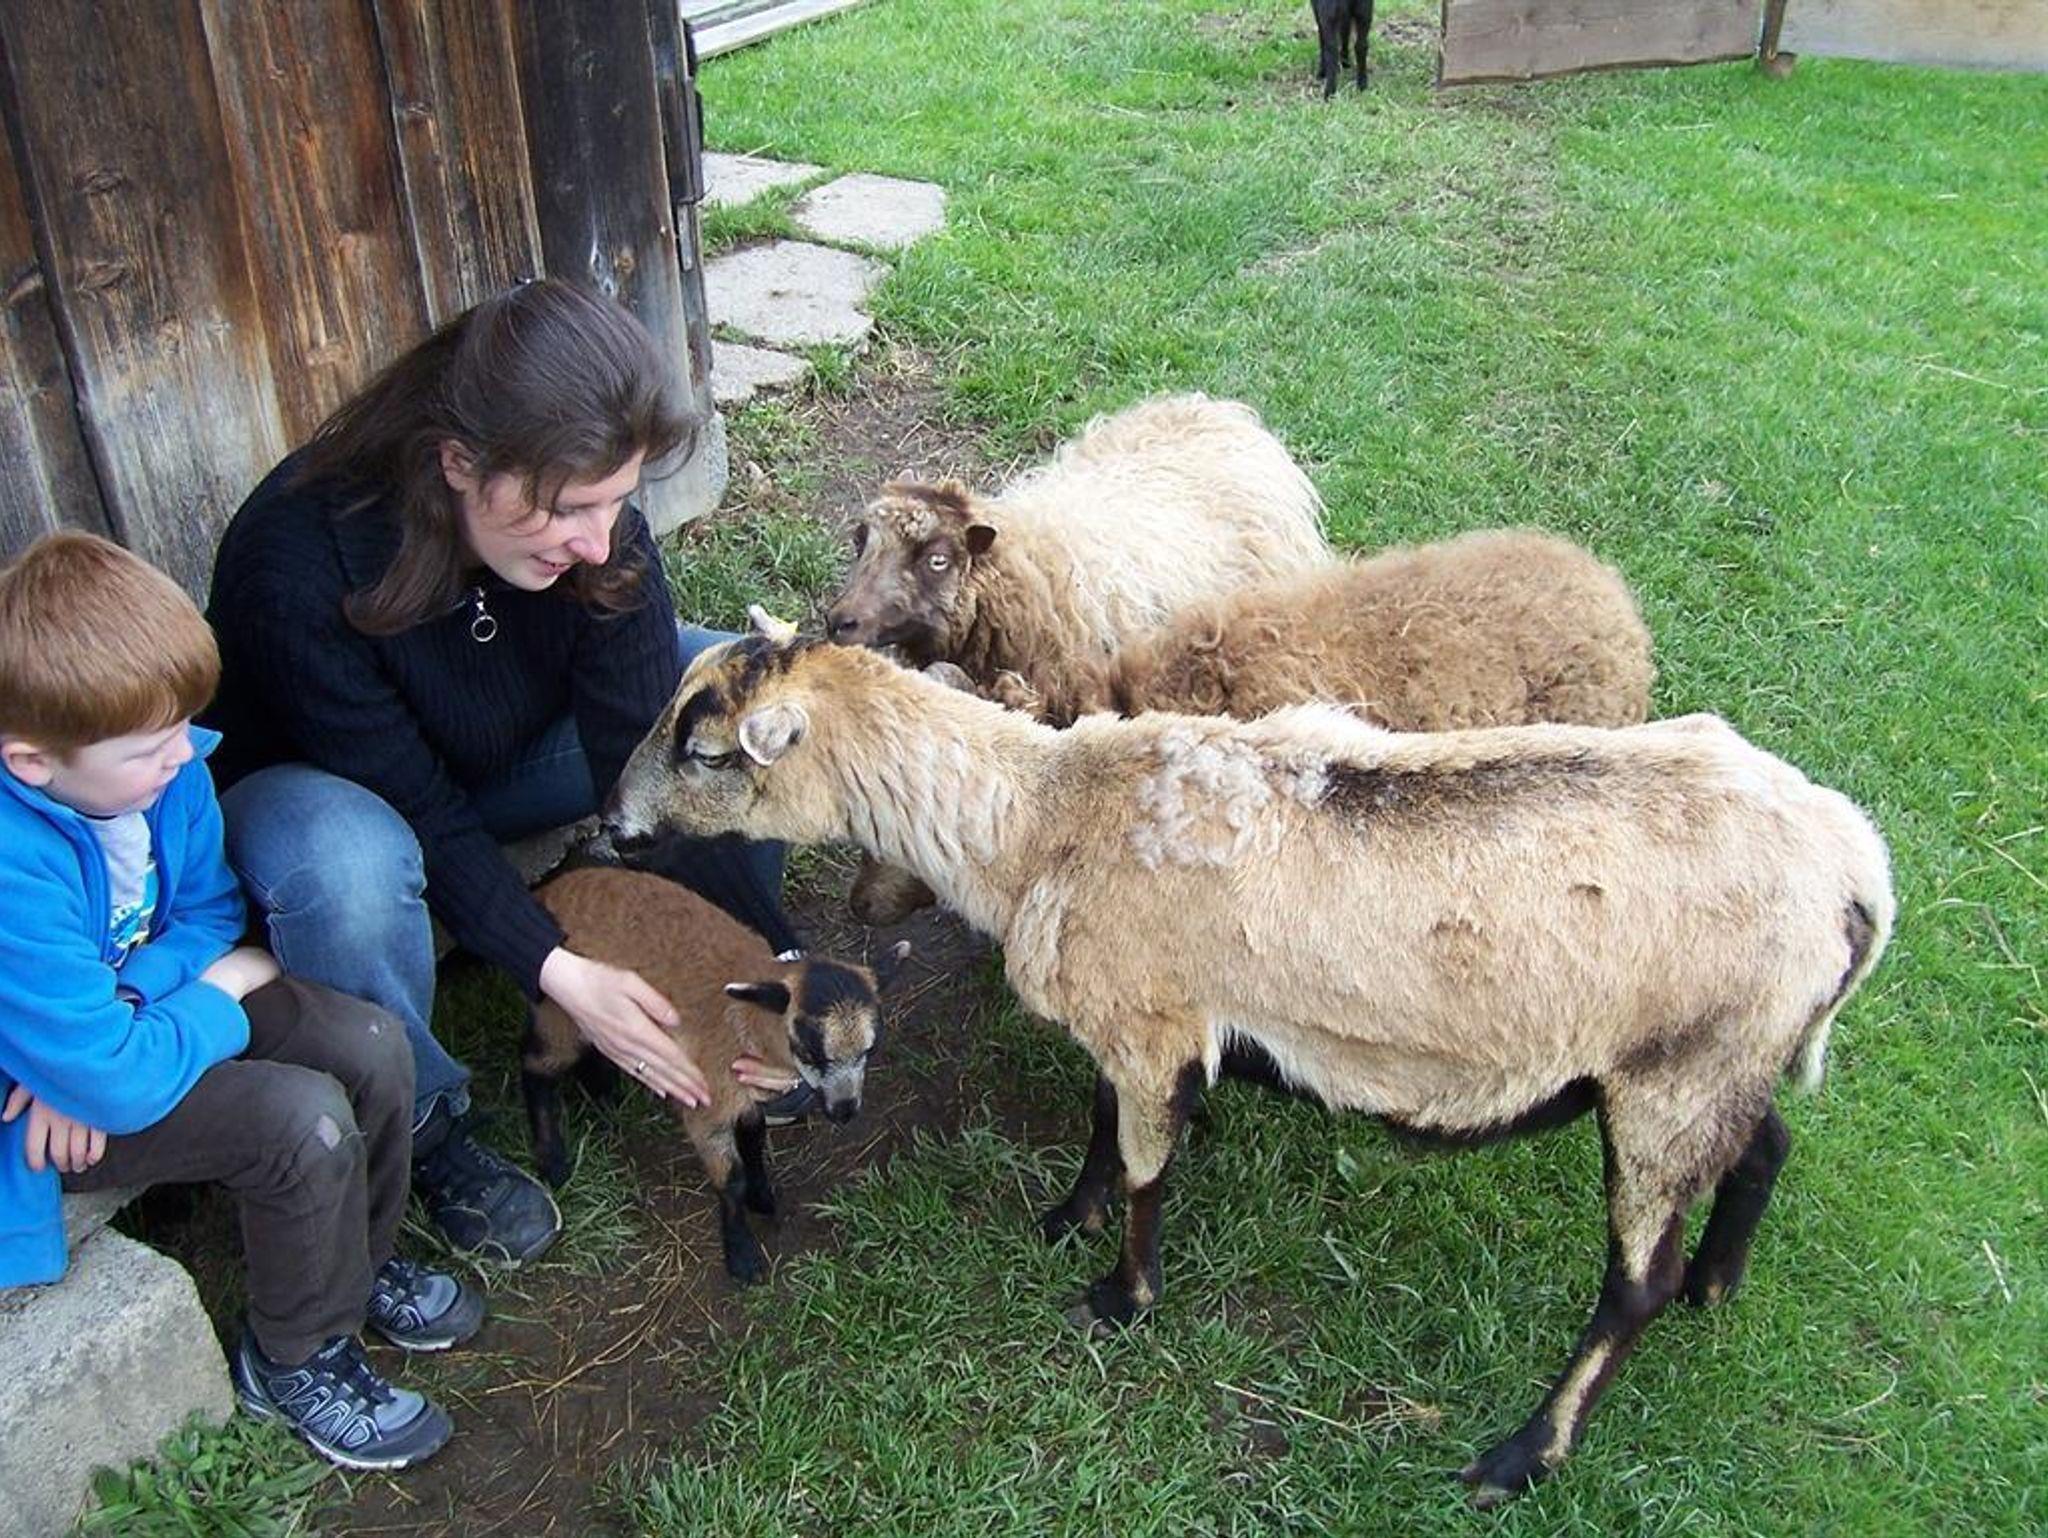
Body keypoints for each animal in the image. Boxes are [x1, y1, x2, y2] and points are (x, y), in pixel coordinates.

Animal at [520, 864, 909, 1284]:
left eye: (870, 1049)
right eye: (809, 1051)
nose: (844, 1111)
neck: (748, 1023)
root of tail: (550, 889)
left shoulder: (746, 1093)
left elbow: (753, 1139)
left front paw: (761, 1196)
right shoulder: (705, 1103)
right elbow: (730, 1178)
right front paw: (741, 1256)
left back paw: (604, 1097)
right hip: (558, 1007)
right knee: (535, 1065)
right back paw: (553, 1161)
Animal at [605, 624, 1894, 1504]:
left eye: (703, 744)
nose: (611, 829)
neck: (1037, 819)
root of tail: (1858, 875)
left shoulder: (1148, 1018)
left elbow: (1143, 1166)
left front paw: (1118, 1296)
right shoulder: (1134, 1014)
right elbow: (1099, 1123)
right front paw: (1062, 1217)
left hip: (1672, 1075)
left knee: (1628, 1284)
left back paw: (1523, 1450)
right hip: (1717, 1058)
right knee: (1765, 1141)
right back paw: (1717, 1282)